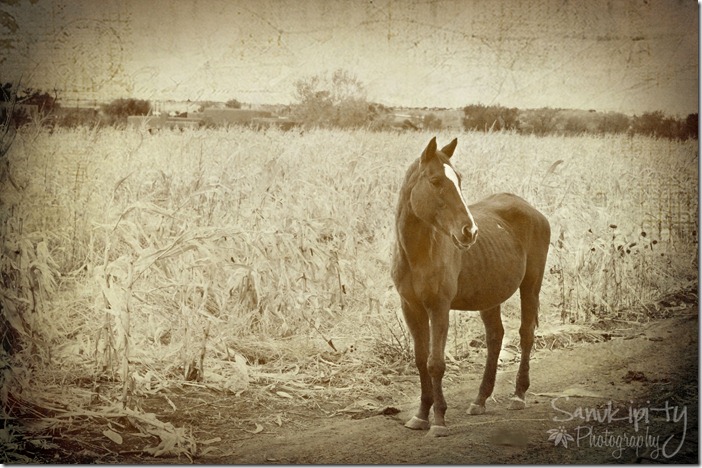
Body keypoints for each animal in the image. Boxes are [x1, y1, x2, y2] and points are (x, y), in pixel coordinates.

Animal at [391, 137, 550, 437]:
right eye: (435, 181)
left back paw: (518, 395)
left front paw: (439, 420)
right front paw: (420, 415)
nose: (470, 232)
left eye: (459, 179)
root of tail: (532, 210)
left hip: (531, 285)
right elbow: (420, 360)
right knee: (495, 337)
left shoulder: (439, 308)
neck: (418, 254)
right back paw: (480, 400)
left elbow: (435, 363)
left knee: (525, 334)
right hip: (490, 296)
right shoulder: (411, 308)